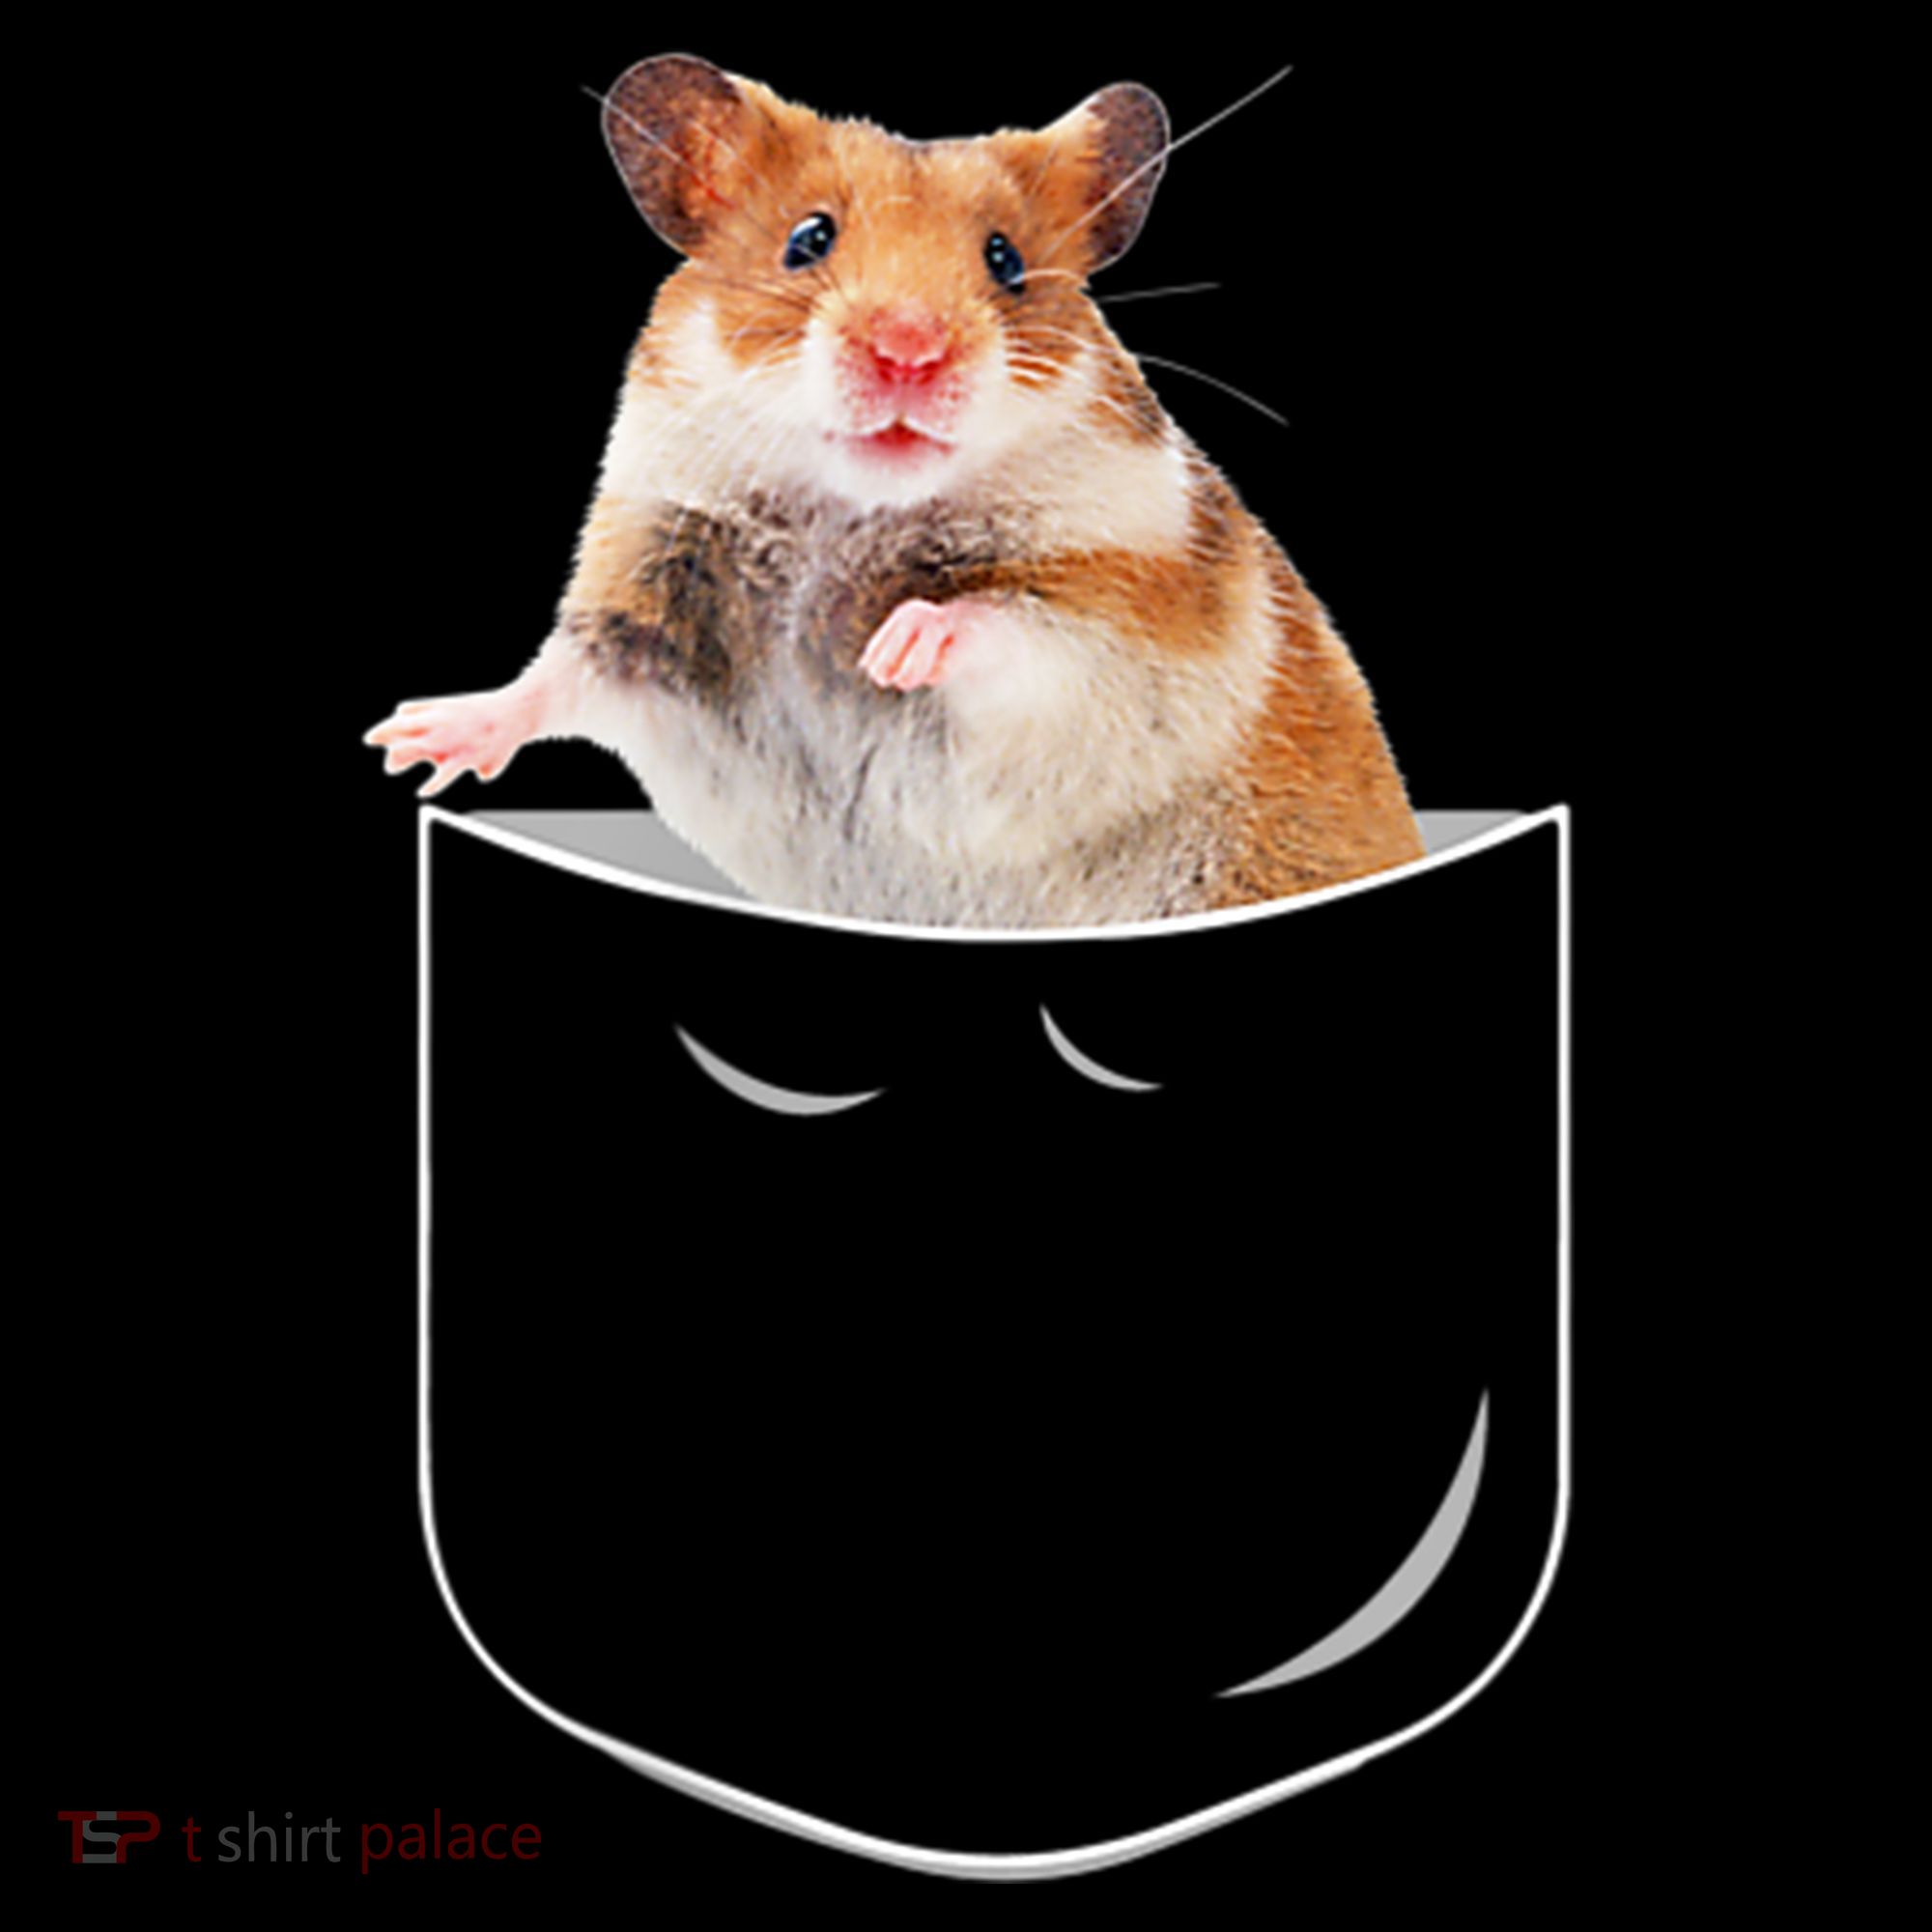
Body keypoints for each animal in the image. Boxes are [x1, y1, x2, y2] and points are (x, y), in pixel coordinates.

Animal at [366, 54, 1427, 927]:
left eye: (1005, 259)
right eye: (806, 239)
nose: (907, 350)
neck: (846, 511)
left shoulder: (1130, 635)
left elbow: (1006, 625)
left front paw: (892, 645)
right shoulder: (651, 596)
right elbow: (560, 676)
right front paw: (406, 742)